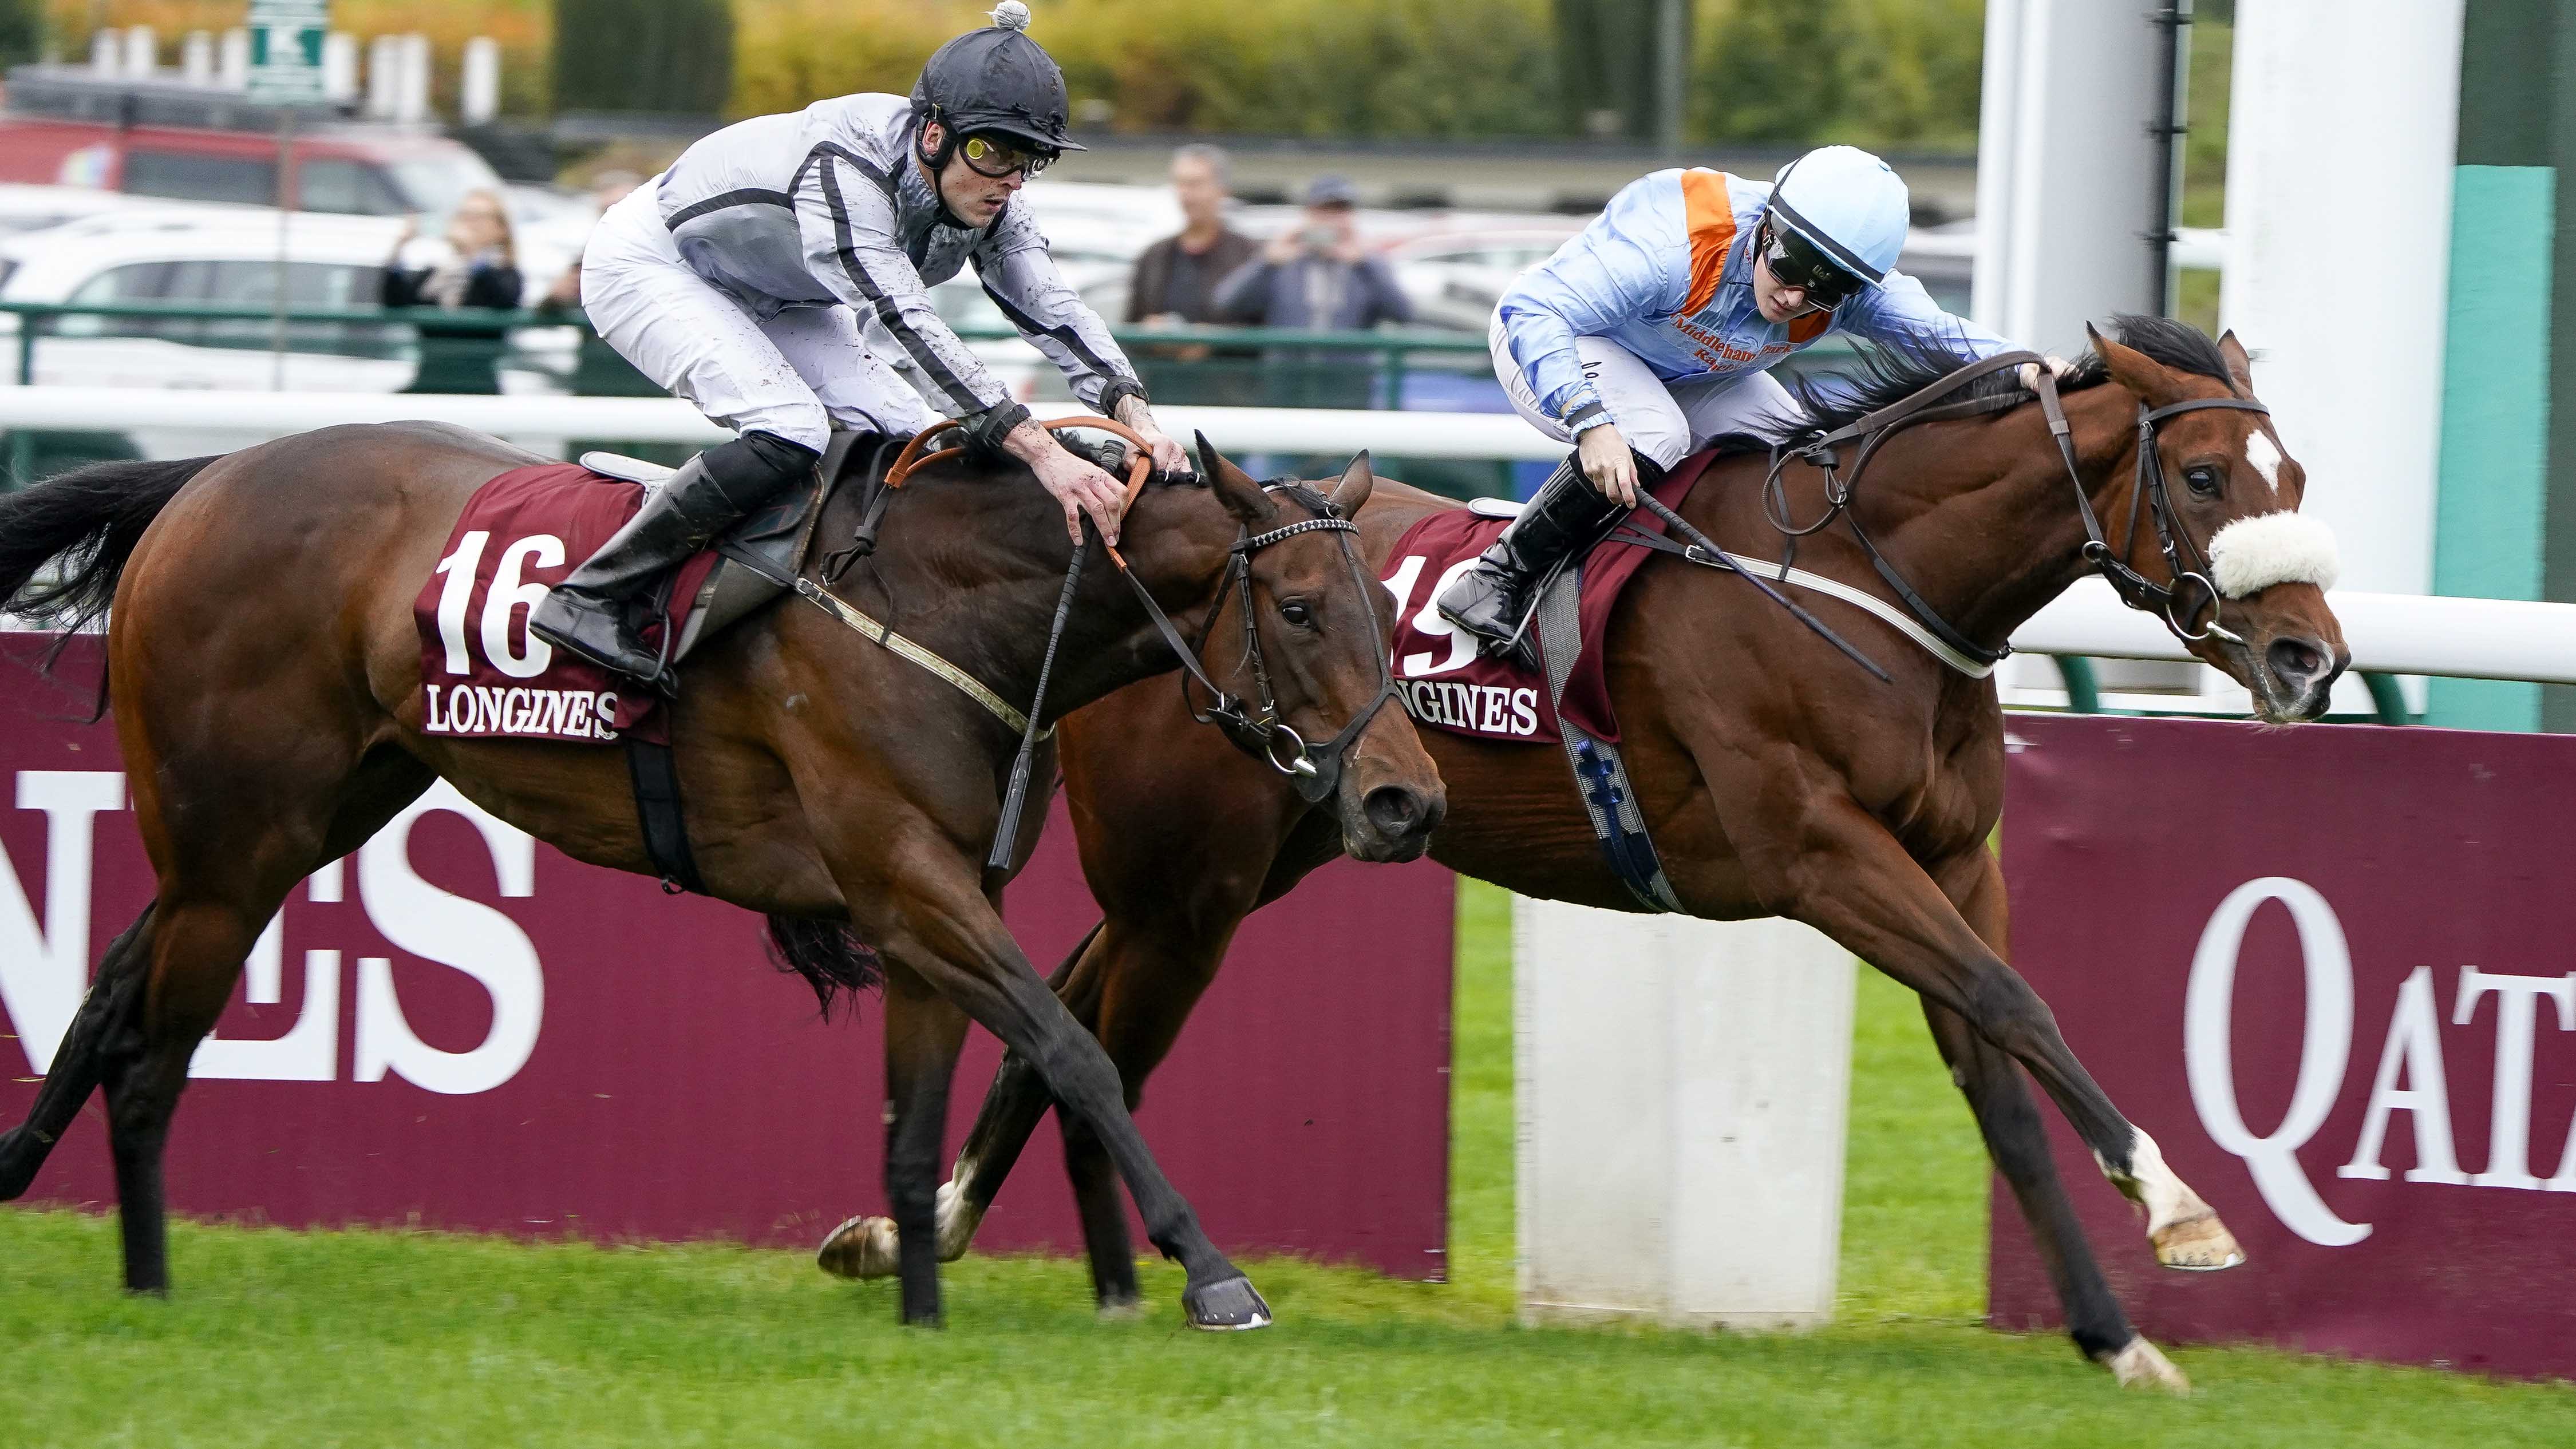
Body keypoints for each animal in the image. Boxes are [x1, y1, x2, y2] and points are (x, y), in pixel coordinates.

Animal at [0, 417, 1453, 1328]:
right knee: (152, 1056)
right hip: (237, 838)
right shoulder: (910, 877)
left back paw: (27, 1182)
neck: (956, 607)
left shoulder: (924, 901)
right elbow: (1074, 1051)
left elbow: (914, 1123)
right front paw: (1212, 1273)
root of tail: (205, 479)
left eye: (1390, 614)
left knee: (112, 991)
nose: (1406, 800)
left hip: (299, 817)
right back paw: (150, 1286)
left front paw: (915, 1308)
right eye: (1300, 609)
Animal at [829, 320, 2360, 1389]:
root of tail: (1132, 539)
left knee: (1065, 1000)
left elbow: (1997, 1074)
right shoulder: (1822, 857)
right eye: (2205, 475)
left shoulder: (1952, 864)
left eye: (2294, 473)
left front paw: (2114, 1337)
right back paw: (1030, 1245)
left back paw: (956, 1232)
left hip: (1265, 856)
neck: (1867, 583)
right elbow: (2015, 1004)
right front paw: (2180, 1208)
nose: (2309, 658)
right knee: (1082, 1021)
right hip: (1189, 879)